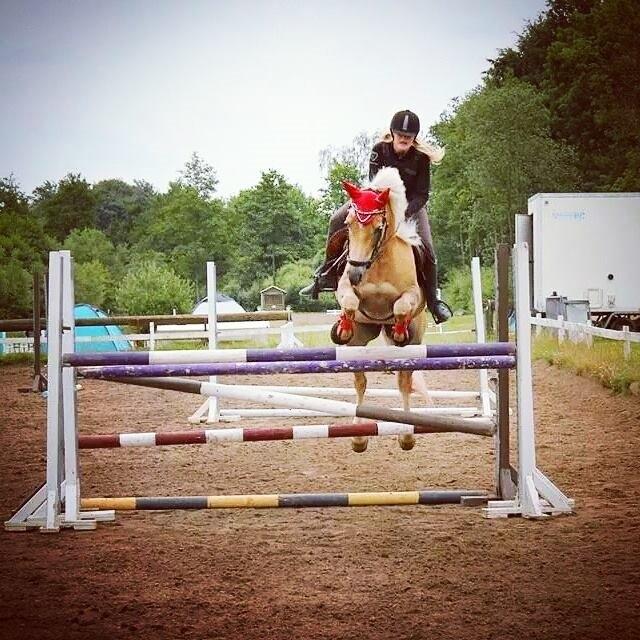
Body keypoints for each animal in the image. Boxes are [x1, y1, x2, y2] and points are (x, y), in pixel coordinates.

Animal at [330, 168, 430, 452]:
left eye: (377, 229)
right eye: (348, 225)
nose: (356, 274)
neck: (378, 262)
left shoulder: (412, 294)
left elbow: (400, 305)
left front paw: (399, 330)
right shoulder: (345, 287)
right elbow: (350, 302)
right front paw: (342, 327)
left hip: (415, 344)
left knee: (404, 381)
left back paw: (406, 435)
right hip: (360, 341)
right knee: (360, 382)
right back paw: (358, 436)